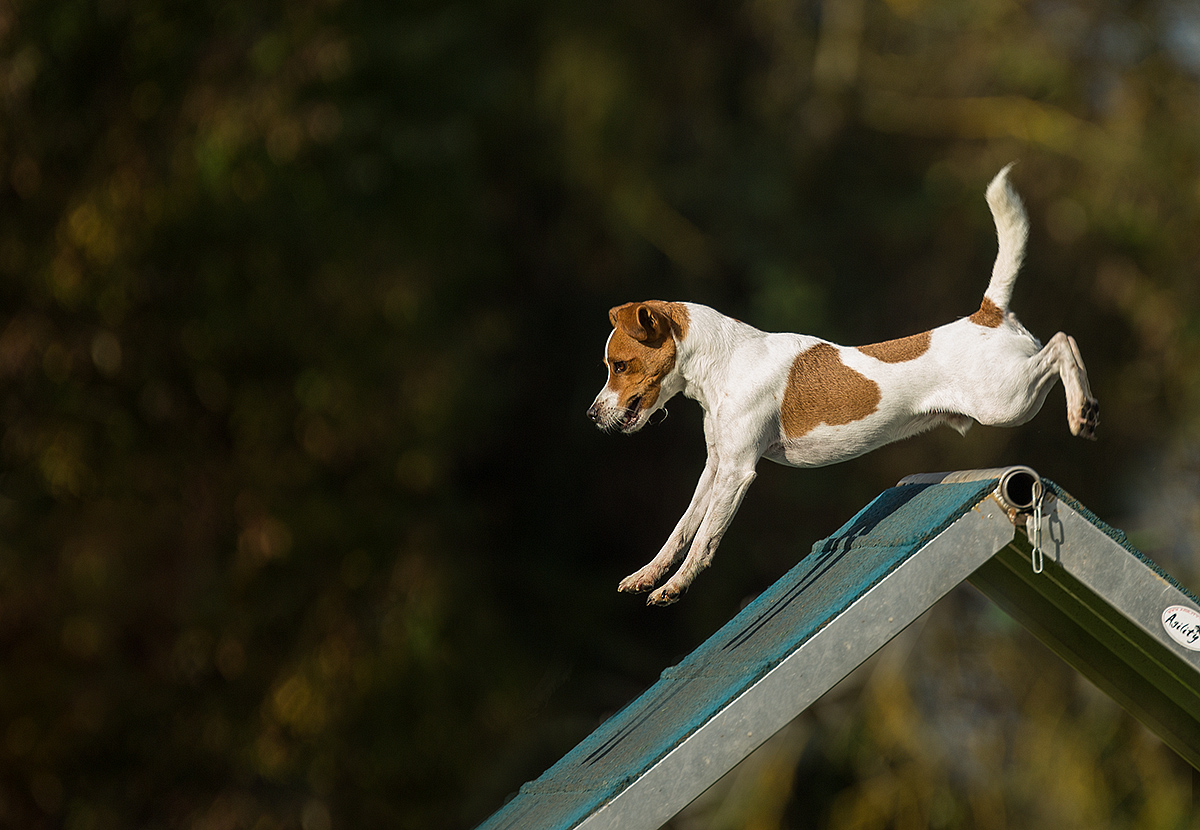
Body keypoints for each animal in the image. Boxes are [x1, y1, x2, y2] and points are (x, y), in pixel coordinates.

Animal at [585, 165, 1099, 606]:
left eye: (619, 364)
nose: (591, 415)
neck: (723, 362)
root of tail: (987, 314)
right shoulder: (715, 467)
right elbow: (681, 531)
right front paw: (649, 576)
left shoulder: (737, 471)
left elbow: (705, 539)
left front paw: (676, 586)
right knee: (1062, 343)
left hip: (1008, 400)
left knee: (1063, 343)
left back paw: (1084, 410)